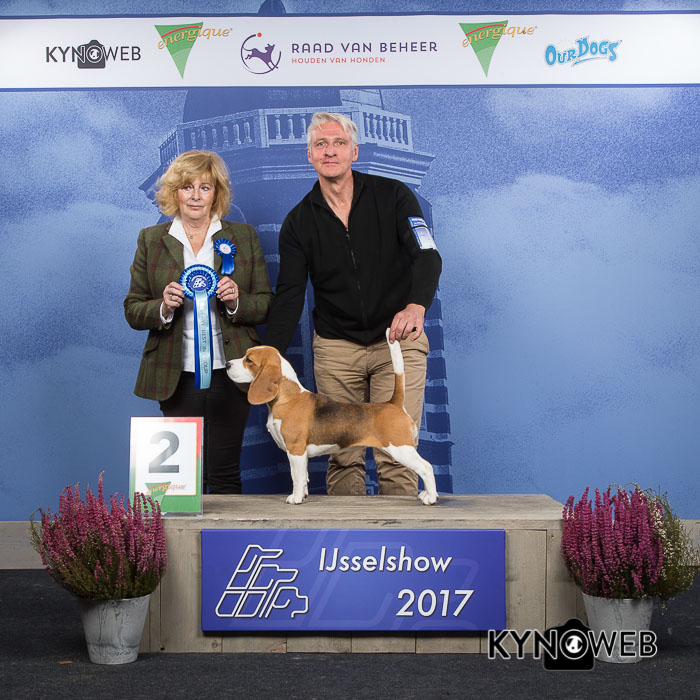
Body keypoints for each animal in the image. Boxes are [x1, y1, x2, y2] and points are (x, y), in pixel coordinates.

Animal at [226, 330, 438, 506]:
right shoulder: (301, 454)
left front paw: (296, 498)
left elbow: (297, 477)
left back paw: (430, 497)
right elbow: (304, 476)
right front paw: (303, 495)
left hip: (401, 449)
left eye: (249, 360)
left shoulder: (295, 450)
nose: (227, 364)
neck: (288, 397)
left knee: (426, 467)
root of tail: (393, 403)